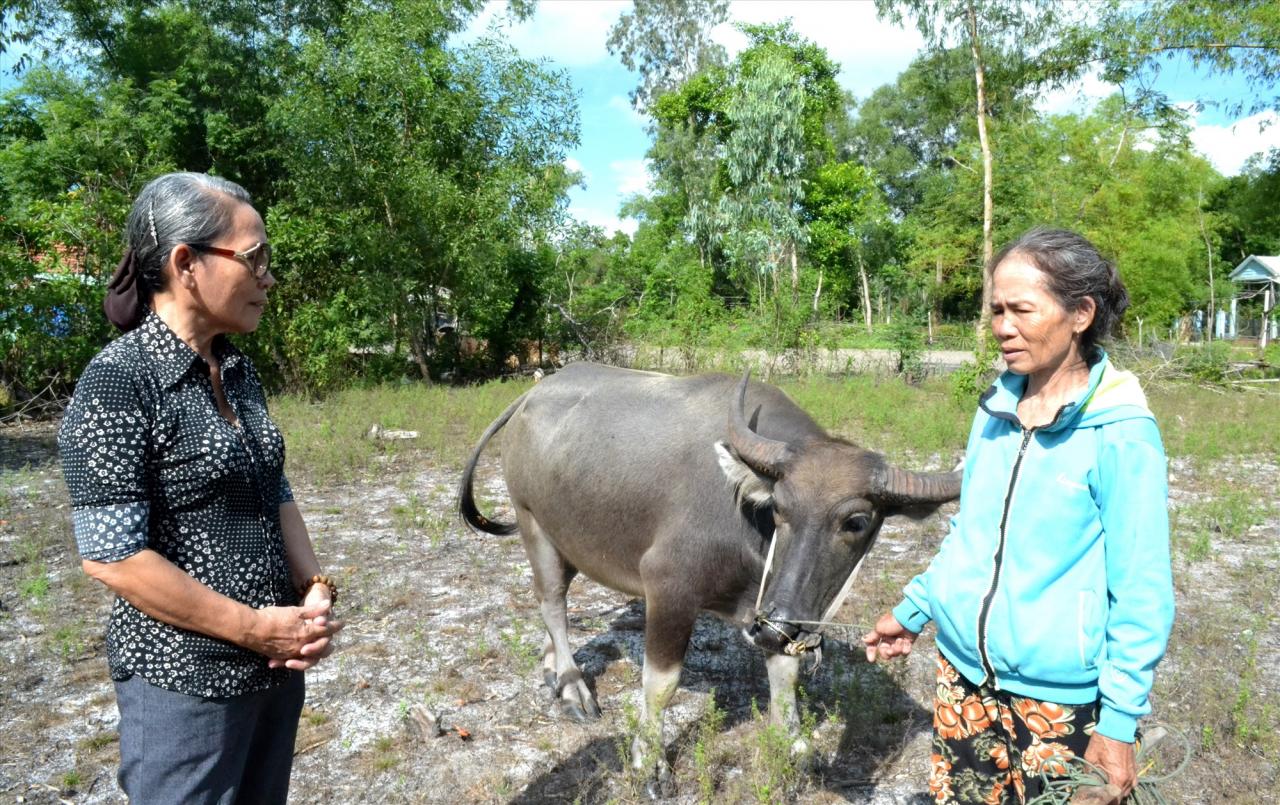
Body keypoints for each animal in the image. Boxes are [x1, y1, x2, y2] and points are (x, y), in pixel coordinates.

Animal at [455, 363, 957, 793]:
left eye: (856, 521)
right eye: (779, 506)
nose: (781, 622)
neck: (749, 530)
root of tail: (532, 394)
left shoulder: (769, 611)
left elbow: (785, 674)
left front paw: (792, 745)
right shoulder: (667, 588)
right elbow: (660, 683)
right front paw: (649, 761)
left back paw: (551, 668)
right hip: (532, 522)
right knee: (552, 601)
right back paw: (572, 685)